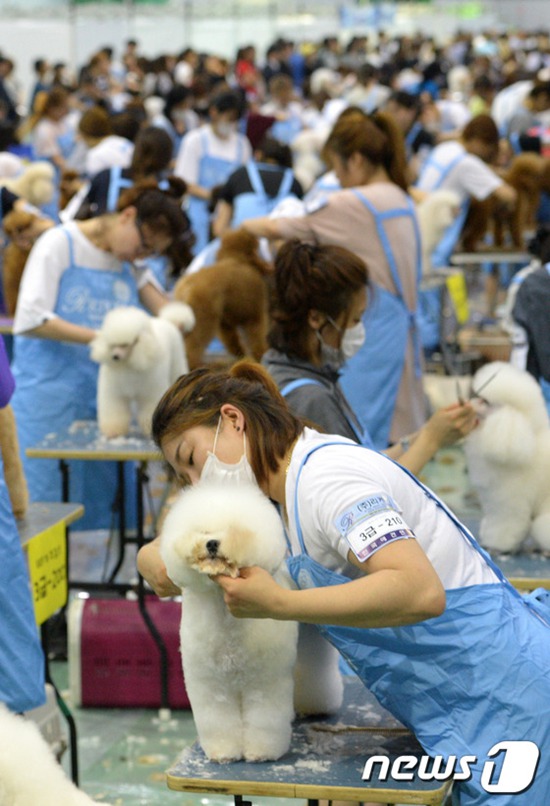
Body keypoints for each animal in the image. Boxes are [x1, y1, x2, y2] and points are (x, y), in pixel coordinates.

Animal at [90, 304, 194, 442]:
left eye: (126, 344)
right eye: (113, 345)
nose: (115, 357)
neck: (129, 364)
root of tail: (167, 321)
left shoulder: (150, 393)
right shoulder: (114, 393)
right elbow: (114, 410)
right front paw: (113, 432)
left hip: (176, 362)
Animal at [161, 482, 298, 768]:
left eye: (232, 529)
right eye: (203, 531)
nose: (212, 543)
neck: (228, 623)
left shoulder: (265, 681)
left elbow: (265, 720)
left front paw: (262, 752)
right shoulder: (211, 684)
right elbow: (218, 721)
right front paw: (223, 752)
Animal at [174, 229, 272, 370]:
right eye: (256, 248)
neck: (236, 258)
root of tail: (186, 286)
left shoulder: (225, 324)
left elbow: (233, 343)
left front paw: (242, 356)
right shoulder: (255, 315)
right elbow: (257, 340)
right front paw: (261, 356)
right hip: (203, 318)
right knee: (193, 345)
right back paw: (195, 365)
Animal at [466, 362, 550, 556]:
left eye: (485, 402)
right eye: (478, 395)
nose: (468, 404)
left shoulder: (508, 503)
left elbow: (505, 525)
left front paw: (497, 546)